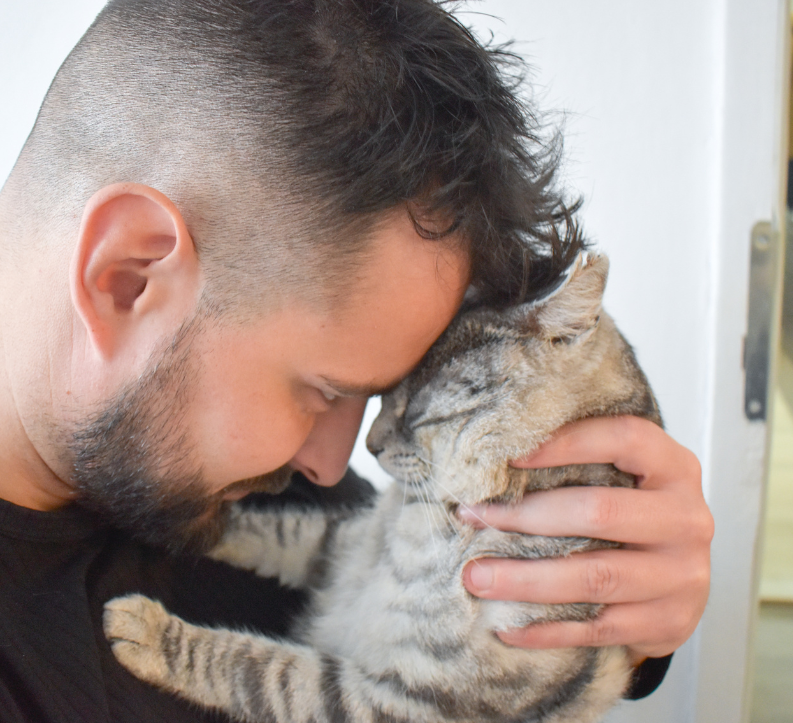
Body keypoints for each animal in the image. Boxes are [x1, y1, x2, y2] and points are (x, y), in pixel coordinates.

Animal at [103, 252, 664, 720]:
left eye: (415, 408)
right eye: (385, 393)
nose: (369, 446)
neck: (420, 523)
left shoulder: (395, 700)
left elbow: (265, 670)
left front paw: (148, 631)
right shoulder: (339, 541)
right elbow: (273, 531)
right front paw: (188, 527)